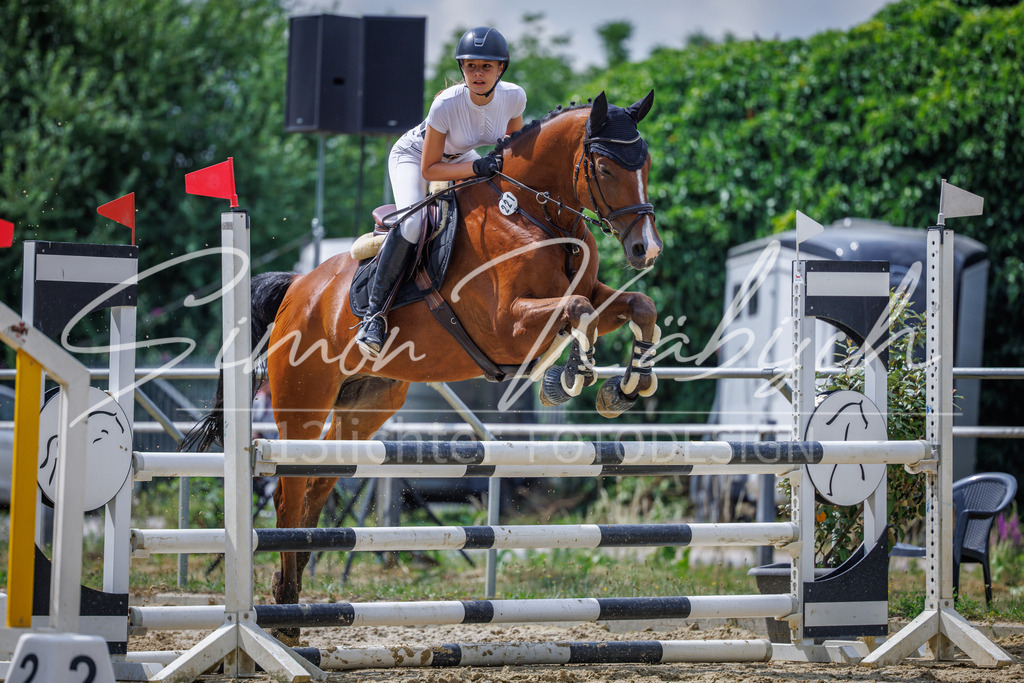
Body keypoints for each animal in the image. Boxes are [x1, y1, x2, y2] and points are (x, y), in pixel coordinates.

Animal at [185, 90, 664, 642]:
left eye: (646, 163)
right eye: (605, 167)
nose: (646, 249)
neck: (535, 215)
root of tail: (297, 289)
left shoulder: (591, 295)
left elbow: (638, 305)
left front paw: (625, 387)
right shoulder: (505, 325)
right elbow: (577, 312)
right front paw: (564, 378)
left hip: (366, 405)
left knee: (317, 487)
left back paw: (293, 600)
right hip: (301, 399)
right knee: (288, 496)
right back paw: (283, 613)